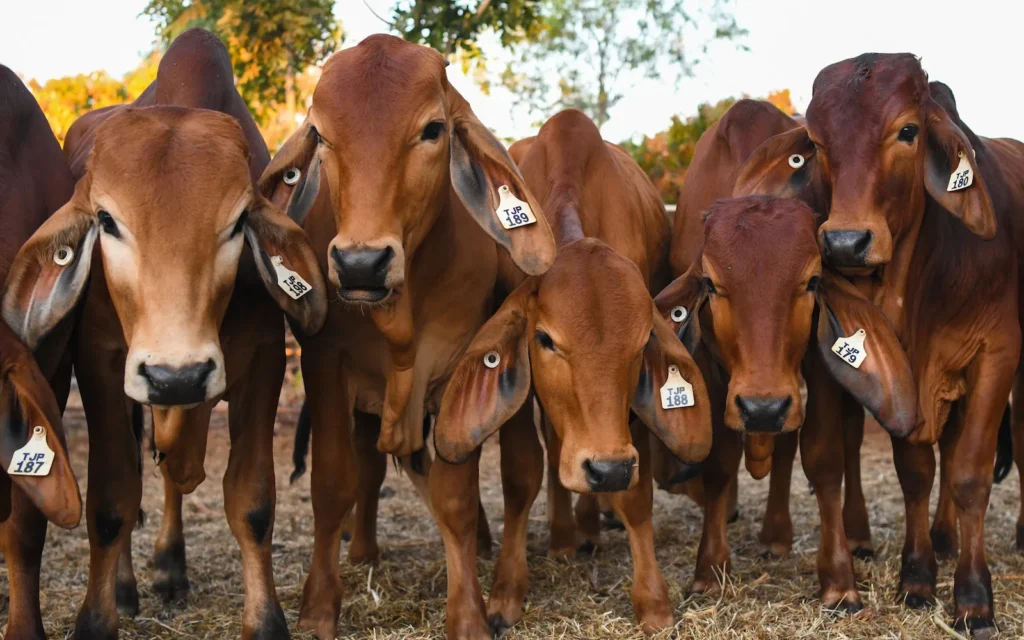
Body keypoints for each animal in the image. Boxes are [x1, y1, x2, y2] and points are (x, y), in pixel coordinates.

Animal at [1, 29, 329, 639]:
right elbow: (112, 501)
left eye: (238, 223)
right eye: (107, 221)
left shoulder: (264, 361)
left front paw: (265, 621)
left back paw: (171, 568)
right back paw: (129, 585)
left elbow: (251, 503)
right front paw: (97, 618)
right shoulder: (101, 363)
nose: (176, 374)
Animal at [256, 34, 557, 639]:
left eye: (433, 129)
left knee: (513, 475)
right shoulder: (324, 363)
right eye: (321, 134)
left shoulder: (459, 367)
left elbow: (456, 499)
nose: (361, 264)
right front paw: (319, 608)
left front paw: (468, 614)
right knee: (368, 469)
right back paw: (365, 552)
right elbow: (333, 484)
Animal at [431, 109, 713, 638]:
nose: (606, 469)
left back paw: (586, 526)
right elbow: (521, 478)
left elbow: (636, 495)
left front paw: (653, 601)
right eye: (545, 340)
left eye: (642, 343)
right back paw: (564, 536)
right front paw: (506, 593)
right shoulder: (524, 393)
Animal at [657, 194, 916, 610]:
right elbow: (721, 462)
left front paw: (839, 579)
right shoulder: (711, 369)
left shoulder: (820, 371)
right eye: (710, 284)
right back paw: (775, 536)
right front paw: (709, 570)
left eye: (811, 281)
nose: (763, 410)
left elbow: (824, 460)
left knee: (848, 440)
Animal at [733, 53, 1022, 634]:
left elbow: (971, 474)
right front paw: (914, 577)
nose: (845, 242)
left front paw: (973, 598)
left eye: (907, 131)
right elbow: (909, 472)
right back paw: (942, 537)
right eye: (816, 142)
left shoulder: (996, 356)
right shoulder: (879, 370)